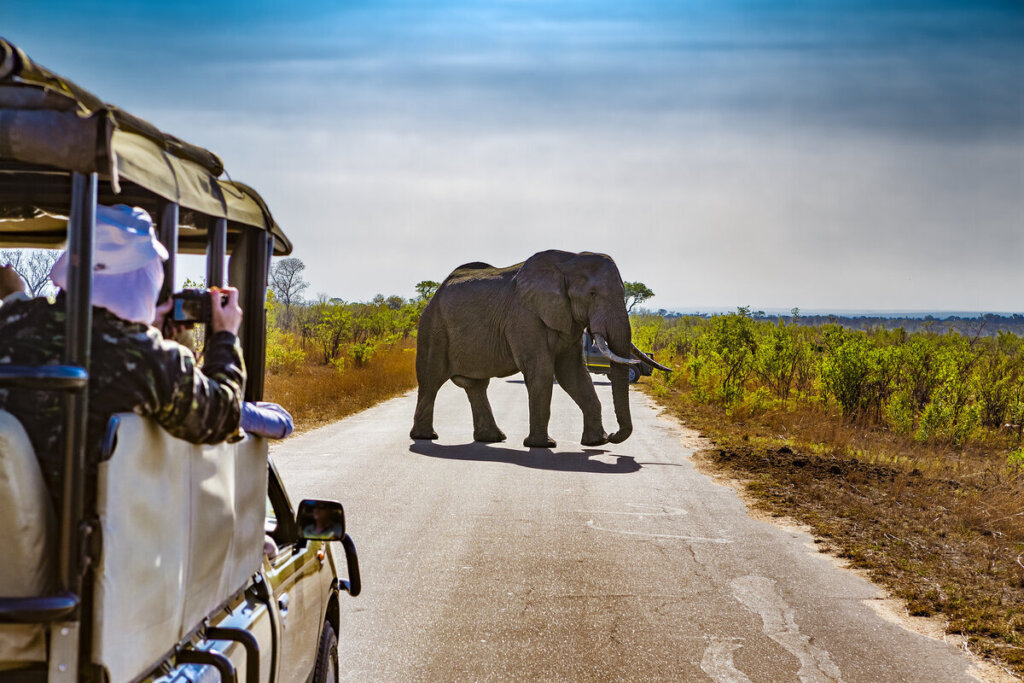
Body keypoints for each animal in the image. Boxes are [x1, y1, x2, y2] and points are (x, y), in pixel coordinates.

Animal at [410, 250, 669, 448]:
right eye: (592, 294)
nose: (615, 436)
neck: (569, 262)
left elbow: (573, 373)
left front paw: (597, 442)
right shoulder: (524, 316)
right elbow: (541, 371)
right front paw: (543, 445)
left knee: (476, 385)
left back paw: (492, 439)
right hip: (433, 327)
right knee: (431, 380)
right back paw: (426, 437)